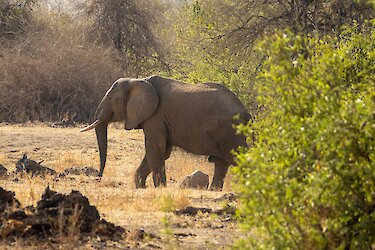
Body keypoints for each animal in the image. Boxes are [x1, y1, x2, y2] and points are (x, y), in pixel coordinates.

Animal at [82, 75, 253, 190]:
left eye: (111, 98)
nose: (98, 176)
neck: (139, 80)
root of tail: (247, 113)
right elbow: (162, 151)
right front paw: (141, 187)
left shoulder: (155, 116)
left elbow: (155, 148)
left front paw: (159, 189)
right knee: (221, 163)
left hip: (230, 132)